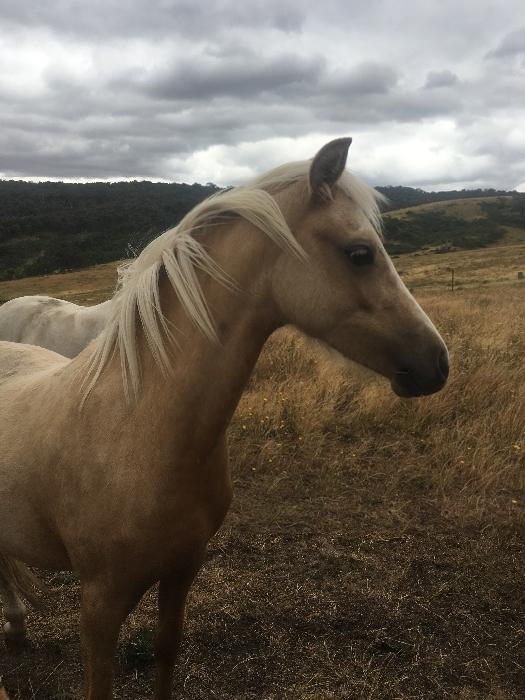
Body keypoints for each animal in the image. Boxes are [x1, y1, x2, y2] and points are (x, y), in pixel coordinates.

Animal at [0, 138, 449, 699]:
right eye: (360, 253)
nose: (439, 362)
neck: (137, 427)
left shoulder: (183, 570)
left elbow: (165, 652)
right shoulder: (99, 604)